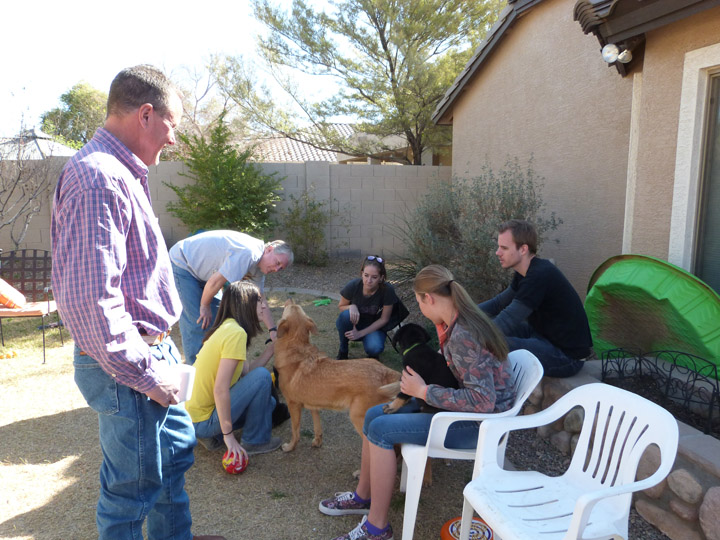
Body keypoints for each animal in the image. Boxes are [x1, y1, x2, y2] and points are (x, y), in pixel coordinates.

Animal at [274, 300, 402, 452]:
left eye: (291, 307)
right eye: (295, 307)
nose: (291, 300)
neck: (296, 345)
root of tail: (385, 371)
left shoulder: (293, 405)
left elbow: (295, 431)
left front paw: (290, 447)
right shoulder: (313, 405)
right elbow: (317, 427)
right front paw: (317, 442)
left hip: (358, 418)